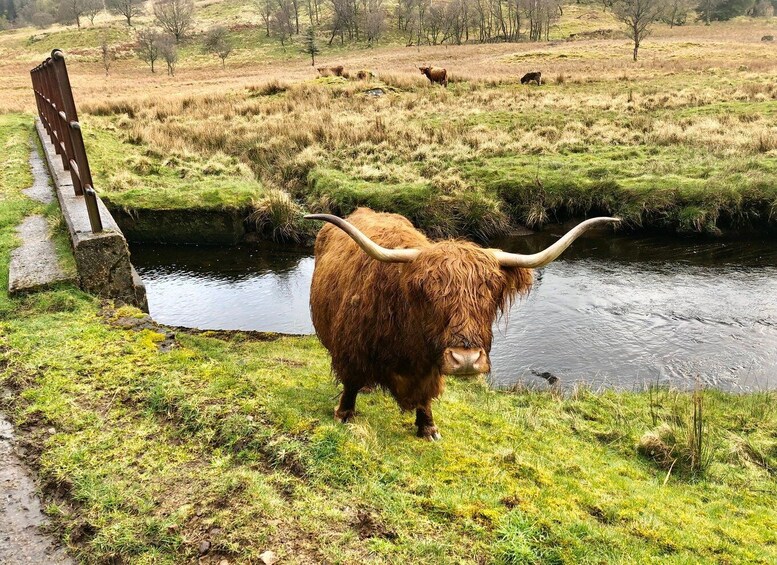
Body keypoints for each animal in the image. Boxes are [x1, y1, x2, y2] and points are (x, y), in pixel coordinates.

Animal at [304, 208, 620, 440]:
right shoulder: (351, 351)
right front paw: (343, 415)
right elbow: (351, 384)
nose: (466, 359)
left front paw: (428, 428)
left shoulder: (429, 368)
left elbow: (426, 397)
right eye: (427, 291)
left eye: (492, 290)